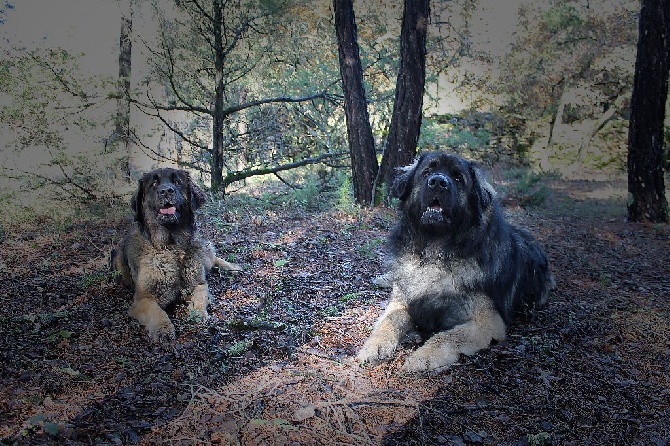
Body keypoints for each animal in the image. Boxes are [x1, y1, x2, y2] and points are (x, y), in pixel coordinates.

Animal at [112, 167, 242, 342]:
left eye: (177, 182)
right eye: (154, 184)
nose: (166, 191)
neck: (172, 247)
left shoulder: (199, 283)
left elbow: (200, 295)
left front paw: (198, 313)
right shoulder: (143, 299)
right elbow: (156, 311)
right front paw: (163, 328)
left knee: (213, 258)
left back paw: (232, 267)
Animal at [360, 152, 552, 372]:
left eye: (459, 178)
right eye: (426, 172)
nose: (437, 182)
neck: (434, 251)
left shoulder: (487, 321)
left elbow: (448, 337)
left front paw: (422, 358)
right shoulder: (400, 301)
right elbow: (388, 322)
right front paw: (373, 346)